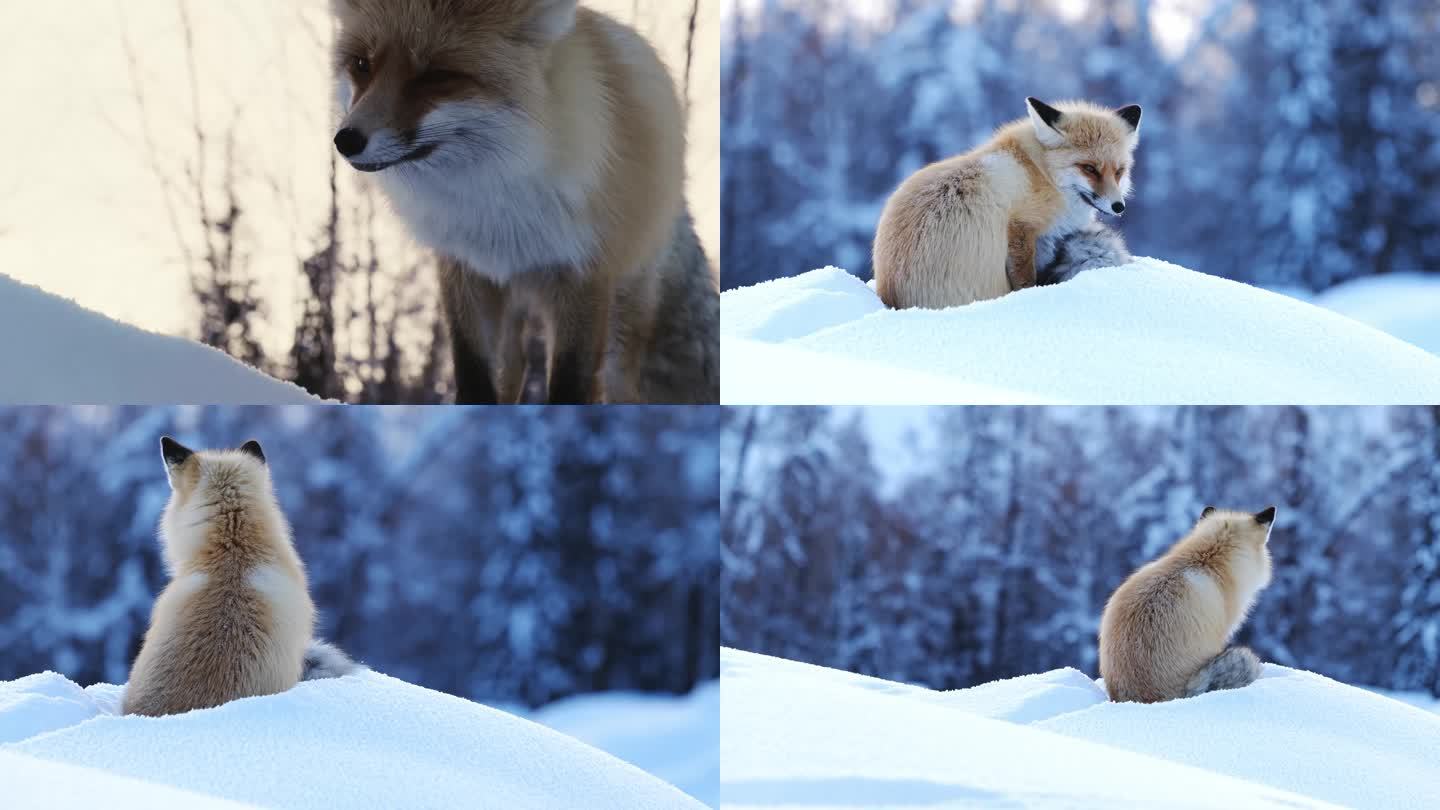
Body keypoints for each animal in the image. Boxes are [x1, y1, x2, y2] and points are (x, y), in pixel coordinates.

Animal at [334, 0, 720, 403]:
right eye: (362, 64)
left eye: (436, 75)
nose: (346, 140)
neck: (496, 204)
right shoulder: (466, 270)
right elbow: (474, 378)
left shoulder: (582, 276)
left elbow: (570, 387)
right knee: (513, 369)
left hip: (621, 318)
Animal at [869, 95, 1140, 308]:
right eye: (1089, 169)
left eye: (1119, 172)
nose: (1118, 207)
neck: (1041, 171)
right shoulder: (1021, 227)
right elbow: (1026, 279)